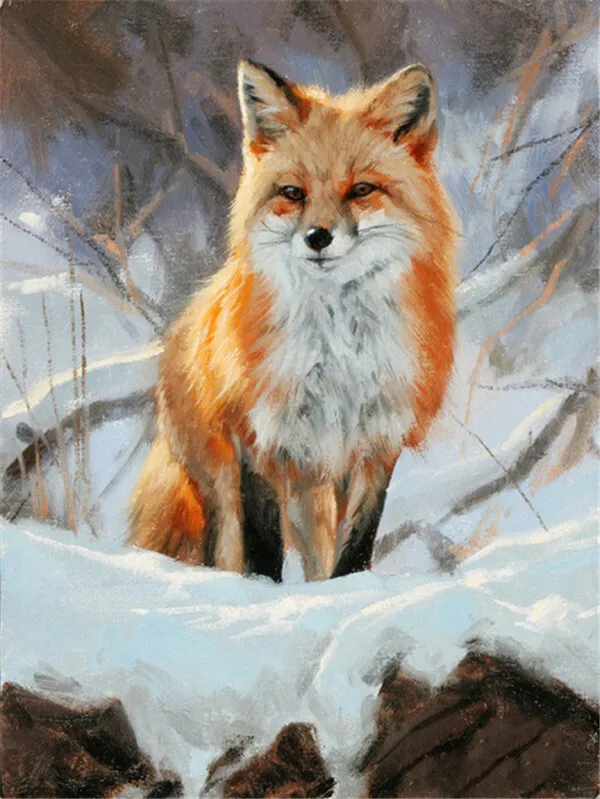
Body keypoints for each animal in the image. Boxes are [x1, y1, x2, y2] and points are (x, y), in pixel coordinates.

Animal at [127, 60, 457, 581]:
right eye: (292, 193)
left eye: (361, 190)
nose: (317, 237)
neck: (337, 353)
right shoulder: (258, 440)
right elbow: (261, 546)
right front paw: (262, 593)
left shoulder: (375, 444)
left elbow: (355, 547)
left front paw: (347, 591)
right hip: (225, 489)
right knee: (225, 546)